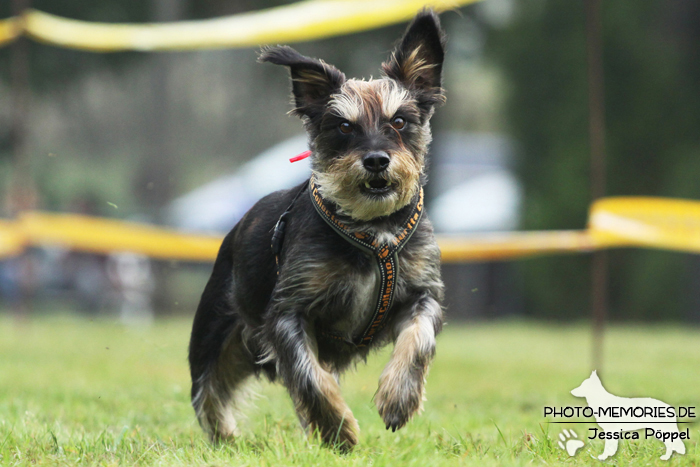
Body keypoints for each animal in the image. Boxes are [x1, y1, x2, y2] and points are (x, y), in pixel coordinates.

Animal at [189, 10, 446, 450]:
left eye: (399, 121)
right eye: (343, 126)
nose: (376, 160)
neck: (371, 231)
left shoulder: (421, 295)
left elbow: (417, 340)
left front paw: (398, 399)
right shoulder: (288, 314)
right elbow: (309, 376)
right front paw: (338, 428)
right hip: (215, 336)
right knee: (209, 391)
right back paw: (226, 437)